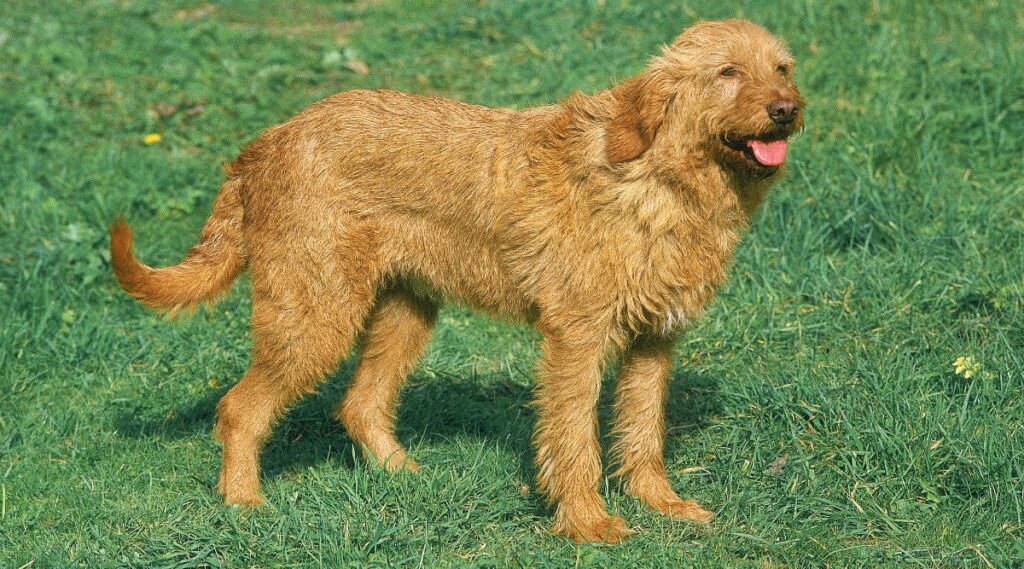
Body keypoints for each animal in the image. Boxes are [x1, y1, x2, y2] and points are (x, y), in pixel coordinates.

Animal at [108, 18, 802, 540]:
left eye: (782, 67)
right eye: (726, 72)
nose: (786, 111)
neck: (659, 179)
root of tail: (264, 145)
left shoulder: (653, 340)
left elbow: (643, 431)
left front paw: (663, 505)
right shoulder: (576, 340)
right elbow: (574, 436)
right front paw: (588, 524)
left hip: (405, 312)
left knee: (360, 404)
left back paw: (404, 475)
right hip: (315, 316)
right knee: (240, 407)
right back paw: (244, 504)